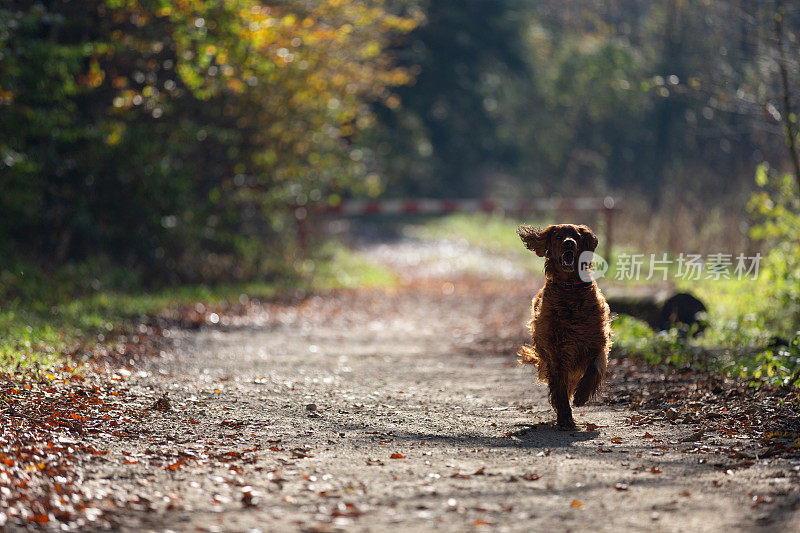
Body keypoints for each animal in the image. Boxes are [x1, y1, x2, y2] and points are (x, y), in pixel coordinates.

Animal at [516, 223, 608, 428]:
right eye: (558, 236)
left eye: (576, 236)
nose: (569, 242)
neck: (570, 288)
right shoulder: (556, 351)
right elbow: (559, 385)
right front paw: (565, 416)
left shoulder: (596, 342)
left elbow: (594, 368)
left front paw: (582, 395)